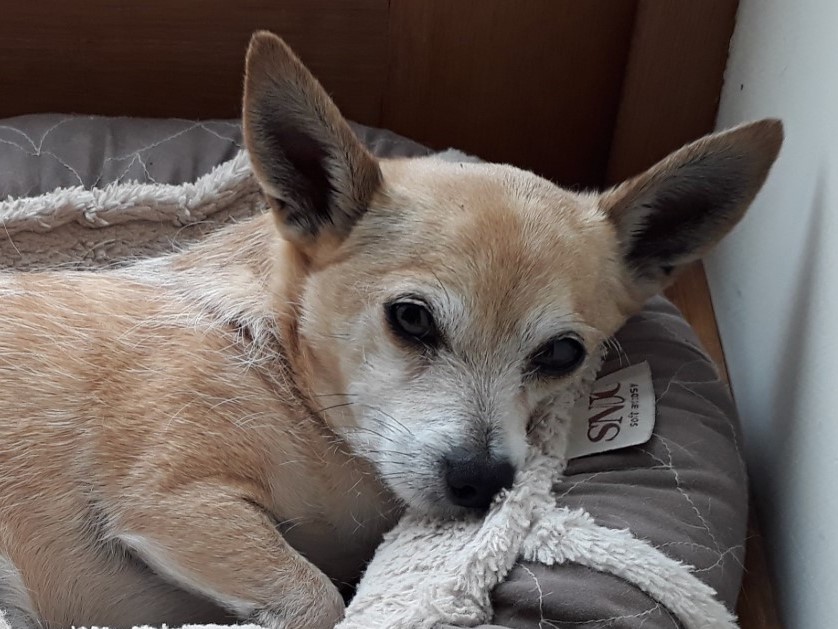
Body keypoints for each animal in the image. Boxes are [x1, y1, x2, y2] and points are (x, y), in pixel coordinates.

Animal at [0, 31, 782, 629]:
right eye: (410, 318)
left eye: (563, 353)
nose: (482, 481)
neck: (286, 377)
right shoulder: (173, 501)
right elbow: (317, 597)